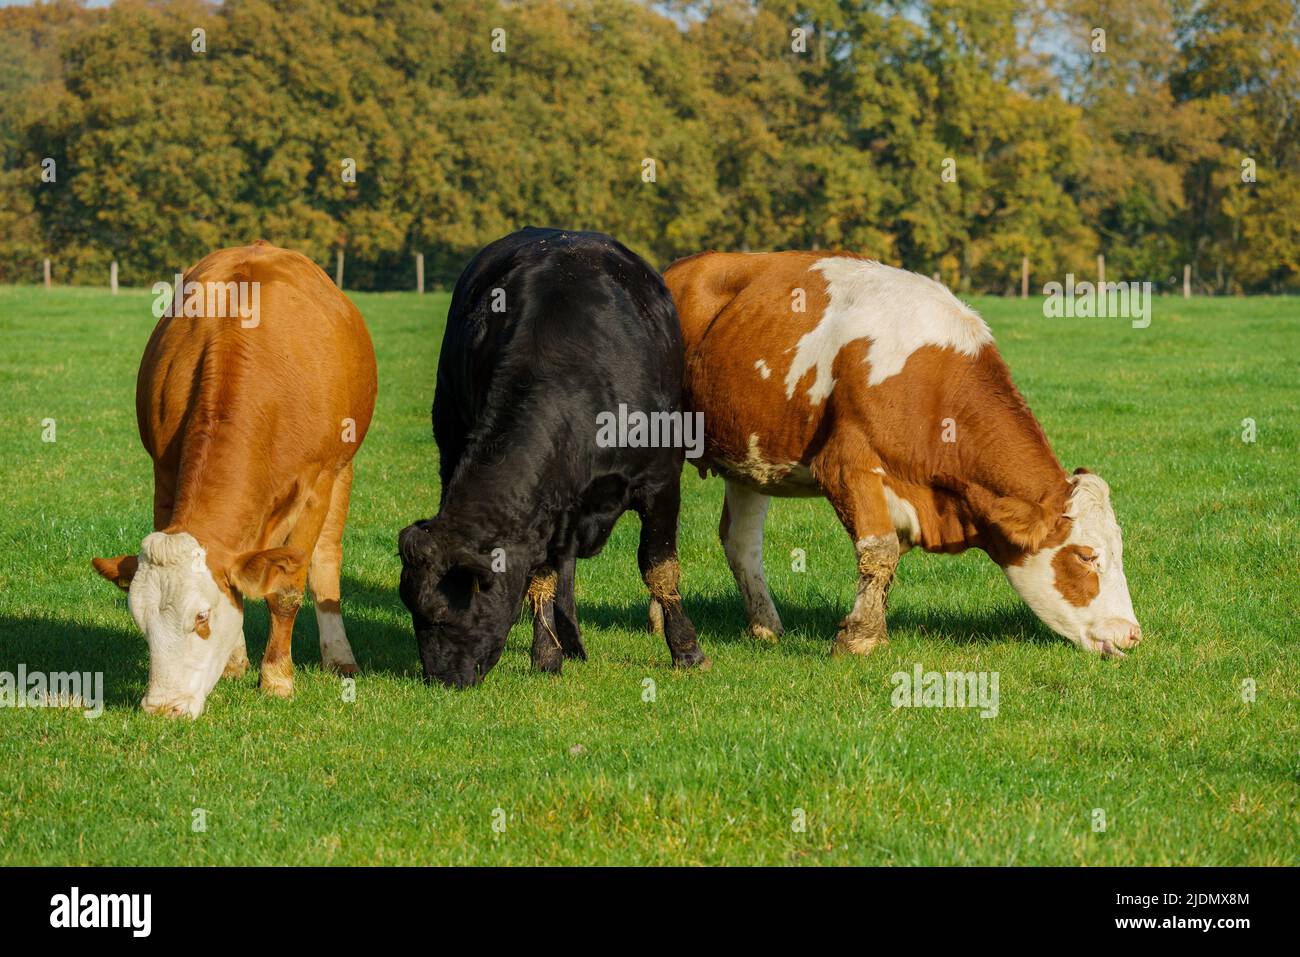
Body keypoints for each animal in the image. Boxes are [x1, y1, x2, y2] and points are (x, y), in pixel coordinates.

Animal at [90, 243, 377, 712]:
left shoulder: (315, 486)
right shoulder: (164, 474)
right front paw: (235, 661)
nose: (161, 708)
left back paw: (339, 654)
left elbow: (287, 588)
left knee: (326, 558)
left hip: (343, 468)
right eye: (141, 621)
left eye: (202, 616)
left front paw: (277, 678)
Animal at [403, 227, 717, 686]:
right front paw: (546, 655)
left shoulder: (661, 480)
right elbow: (542, 578)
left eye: (443, 613)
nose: (442, 680)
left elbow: (658, 566)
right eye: (414, 613)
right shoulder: (544, 508)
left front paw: (687, 650)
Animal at [665, 250, 1144, 657]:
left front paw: (870, 630)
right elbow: (879, 552)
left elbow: (888, 558)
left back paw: (765, 627)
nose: (1131, 633)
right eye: (1086, 556)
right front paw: (859, 639)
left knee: (741, 542)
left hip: (749, 458)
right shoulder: (845, 465)